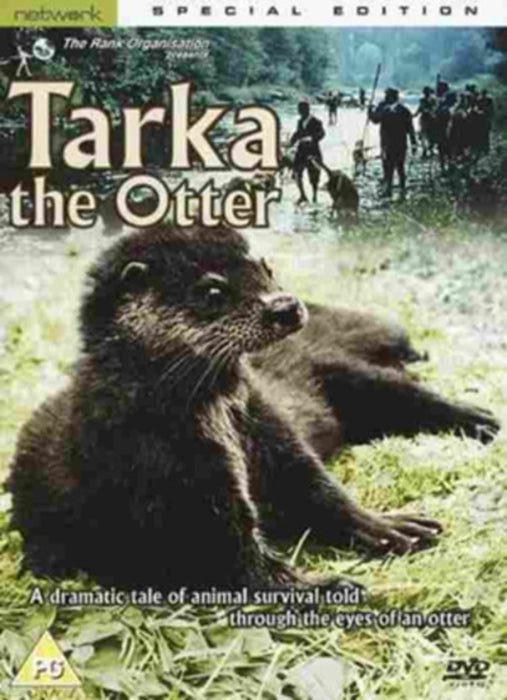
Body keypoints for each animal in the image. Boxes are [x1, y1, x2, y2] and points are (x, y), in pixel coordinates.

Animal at [8, 224, 498, 590]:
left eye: (266, 267)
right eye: (211, 291)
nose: (284, 306)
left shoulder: (268, 424)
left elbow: (315, 487)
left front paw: (387, 526)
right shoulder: (172, 480)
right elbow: (236, 561)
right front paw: (328, 585)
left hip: (341, 369)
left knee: (405, 390)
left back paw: (479, 418)